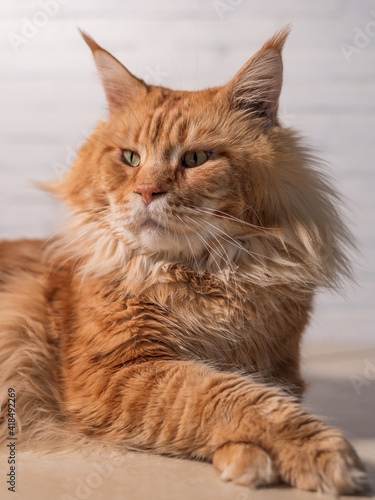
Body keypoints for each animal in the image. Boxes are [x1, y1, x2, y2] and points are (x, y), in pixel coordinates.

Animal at [0, 27, 370, 492]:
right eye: (131, 158)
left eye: (195, 159)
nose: (146, 191)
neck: (205, 278)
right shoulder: (117, 372)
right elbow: (225, 395)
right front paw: (315, 453)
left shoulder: (280, 368)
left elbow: (250, 392)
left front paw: (247, 456)